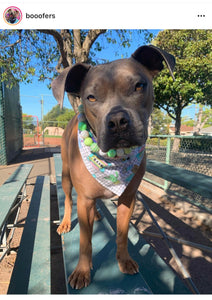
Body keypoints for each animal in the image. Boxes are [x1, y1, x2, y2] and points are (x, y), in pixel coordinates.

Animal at [51, 44, 176, 288]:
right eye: (90, 97)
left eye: (139, 85)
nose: (117, 121)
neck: (112, 161)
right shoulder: (84, 199)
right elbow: (85, 241)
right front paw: (82, 270)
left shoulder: (128, 198)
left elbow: (122, 233)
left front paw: (124, 260)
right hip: (66, 176)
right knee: (70, 201)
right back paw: (66, 222)